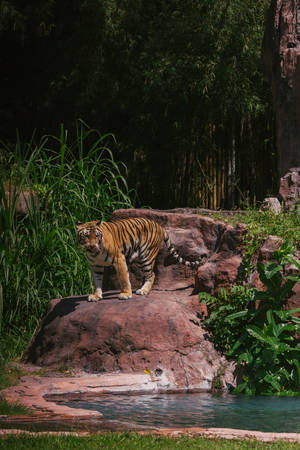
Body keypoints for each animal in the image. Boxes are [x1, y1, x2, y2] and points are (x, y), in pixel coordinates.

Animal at [75, 216, 204, 300]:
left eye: (96, 236)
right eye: (86, 236)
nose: (93, 246)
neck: (95, 253)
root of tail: (159, 226)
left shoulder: (119, 259)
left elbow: (124, 278)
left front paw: (126, 294)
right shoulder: (95, 265)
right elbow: (97, 281)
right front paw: (96, 295)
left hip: (147, 255)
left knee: (151, 274)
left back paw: (143, 291)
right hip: (138, 256)